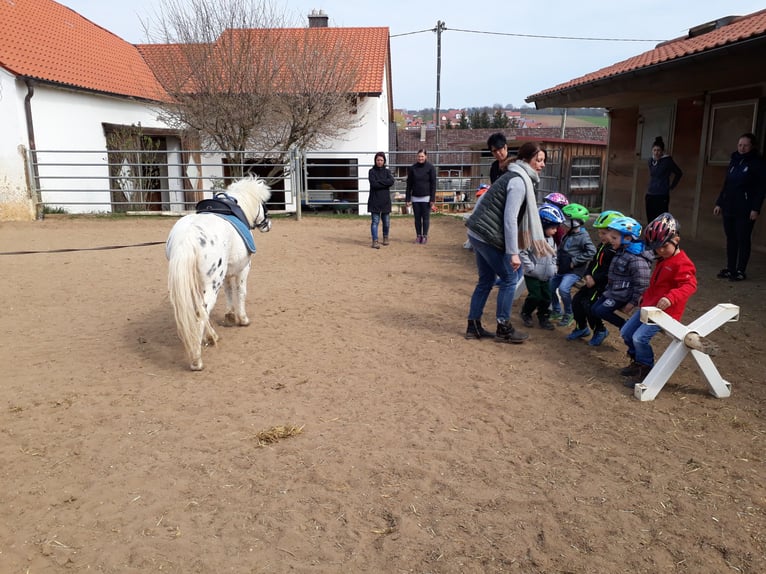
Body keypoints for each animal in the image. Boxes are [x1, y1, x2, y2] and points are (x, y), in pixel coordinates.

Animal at [166, 178, 272, 372]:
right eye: (264, 205)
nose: (268, 224)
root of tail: (188, 236)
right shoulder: (243, 269)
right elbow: (241, 292)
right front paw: (242, 319)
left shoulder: (226, 274)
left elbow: (229, 291)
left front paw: (229, 316)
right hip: (211, 284)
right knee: (201, 312)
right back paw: (197, 359)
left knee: (199, 310)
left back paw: (210, 337)